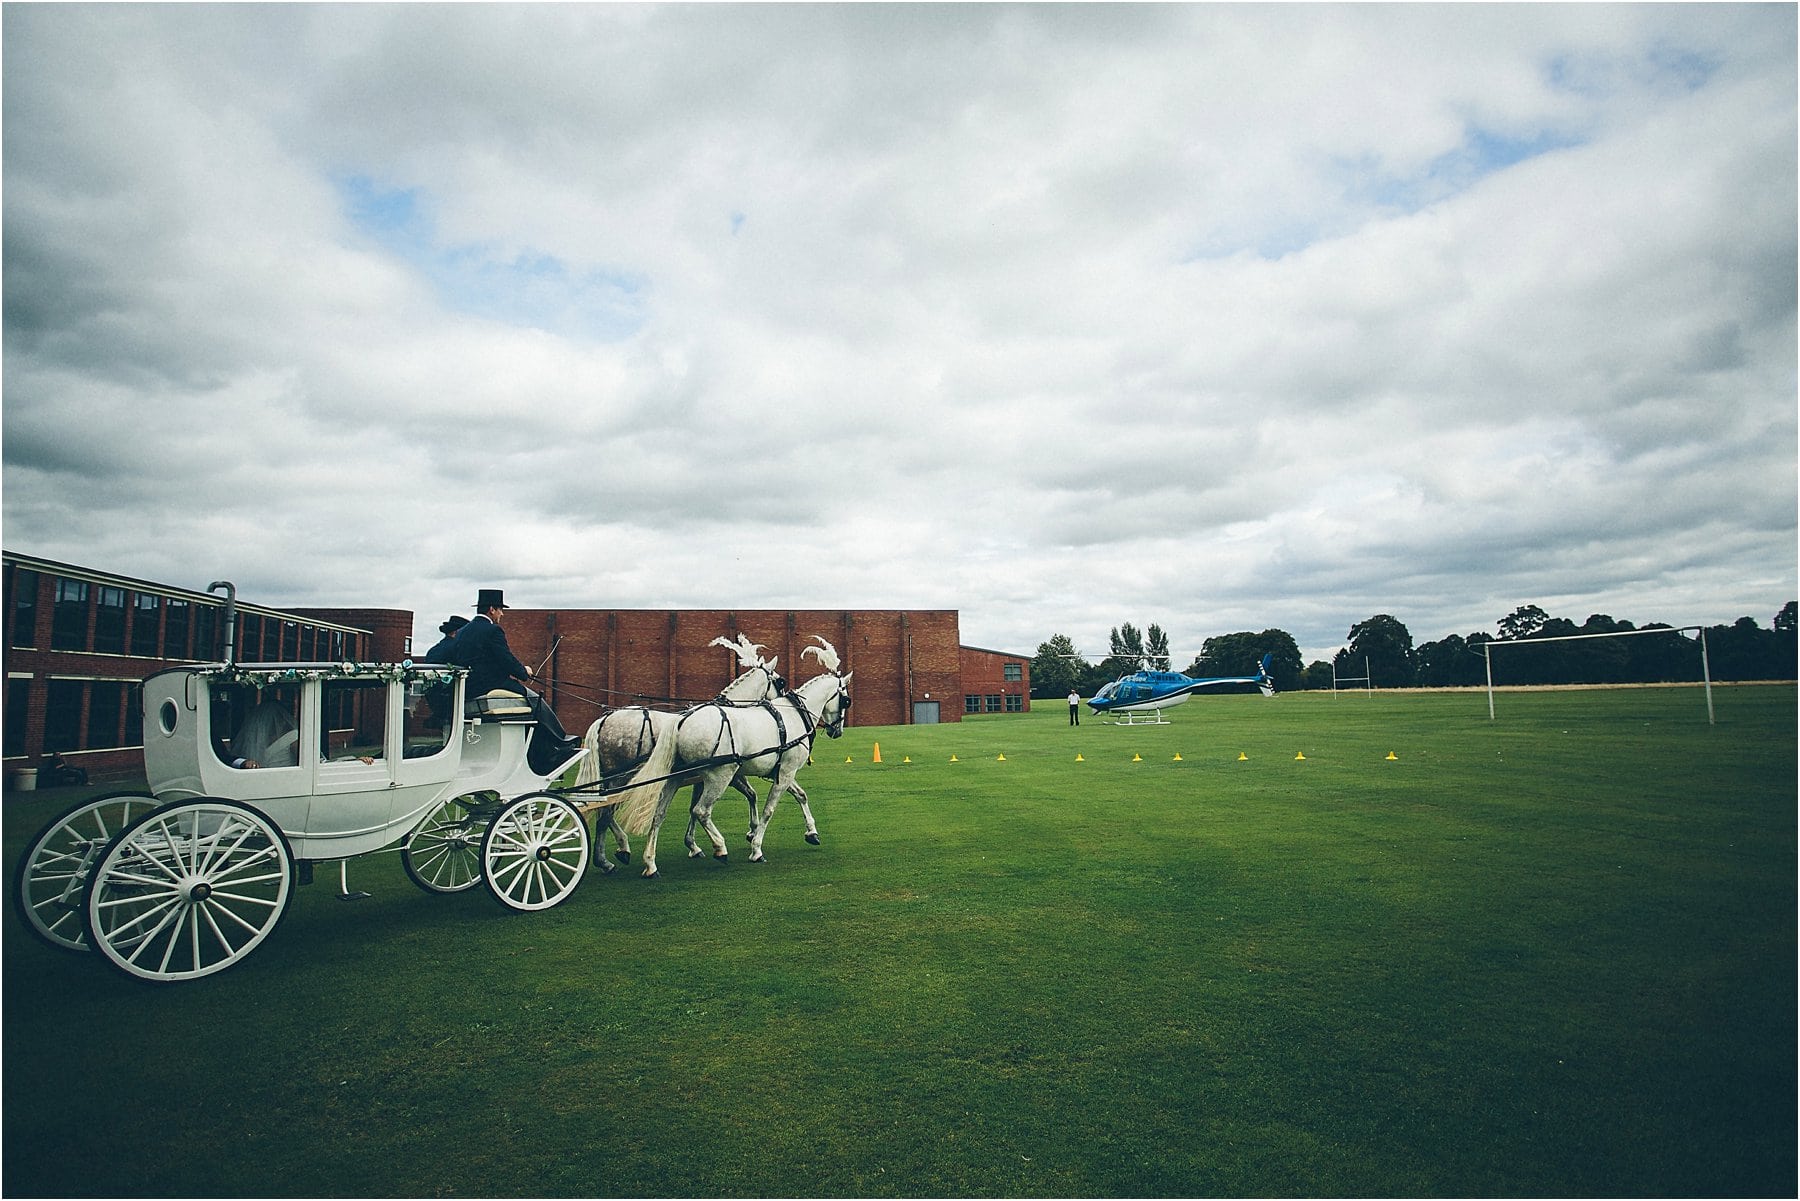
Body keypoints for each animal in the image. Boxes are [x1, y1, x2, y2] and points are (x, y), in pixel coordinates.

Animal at [612, 637, 849, 882]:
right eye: (846, 700)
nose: (837, 730)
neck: (794, 715)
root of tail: (680, 721)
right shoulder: (784, 772)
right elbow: (769, 809)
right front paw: (756, 847)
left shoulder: (782, 771)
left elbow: (800, 795)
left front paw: (811, 832)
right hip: (720, 775)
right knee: (700, 811)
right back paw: (719, 848)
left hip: (675, 777)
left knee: (659, 814)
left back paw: (650, 863)